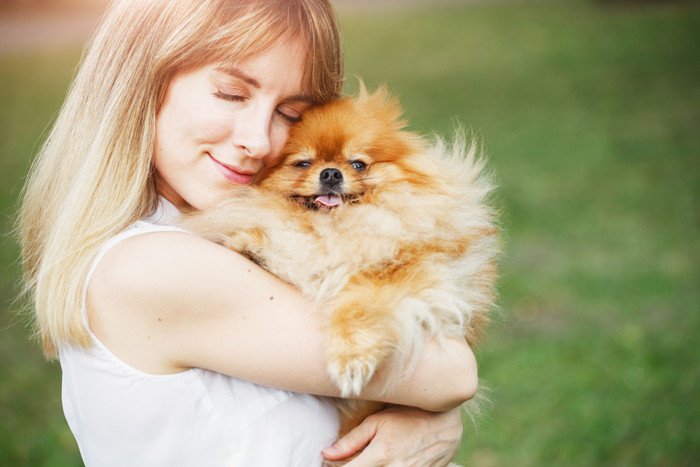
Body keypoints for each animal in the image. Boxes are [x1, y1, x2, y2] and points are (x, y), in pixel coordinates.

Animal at [182, 86, 498, 436]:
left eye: (358, 164)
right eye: (303, 163)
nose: (331, 173)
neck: (335, 226)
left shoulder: (403, 274)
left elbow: (356, 307)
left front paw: (351, 359)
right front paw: (251, 245)